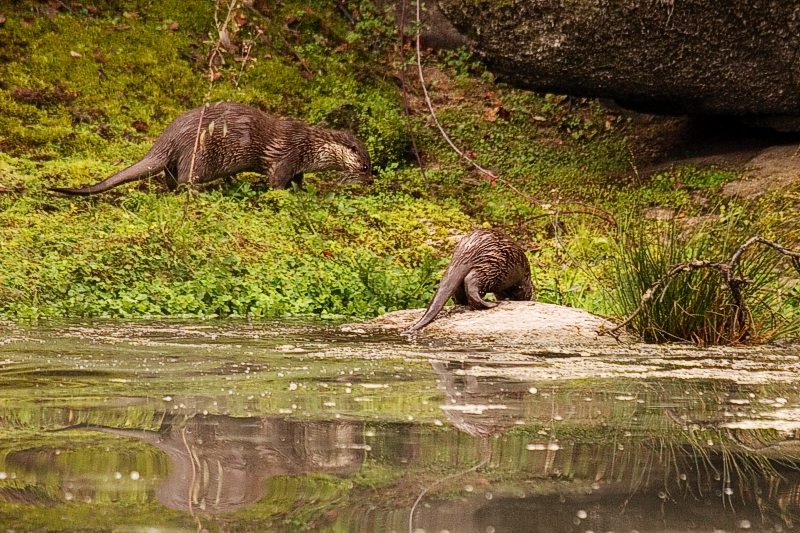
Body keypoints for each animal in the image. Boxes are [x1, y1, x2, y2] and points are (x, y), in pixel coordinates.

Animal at [49, 102, 372, 195]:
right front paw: (285, 196)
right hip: (200, 155)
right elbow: (277, 180)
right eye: (366, 166)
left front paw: (303, 191)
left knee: (170, 177)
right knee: (185, 179)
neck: (312, 146)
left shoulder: (299, 163)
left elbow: (299, 179)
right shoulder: (289, 156)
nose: (370, 180)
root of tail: (170, 136)